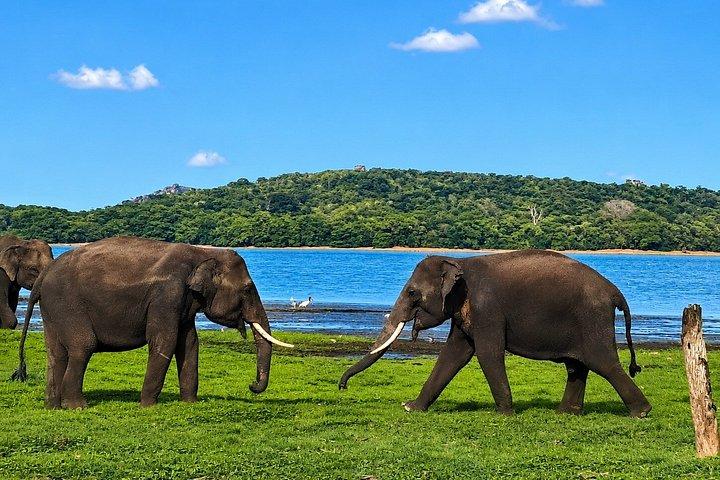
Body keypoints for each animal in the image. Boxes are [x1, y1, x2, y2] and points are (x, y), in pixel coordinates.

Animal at [12, 236, 293, 409]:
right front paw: (147, 405)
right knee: (83, 347)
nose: (252, 385)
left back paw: (53, 406)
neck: (202, 253)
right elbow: (164, 341)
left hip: (53, 310)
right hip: (68, 305)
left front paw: (189, 403)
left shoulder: (184, 303)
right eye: (247, 289)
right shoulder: (167, 296)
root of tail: (43, 276)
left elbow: (189, 344)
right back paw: (77, 407)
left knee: (56, 353)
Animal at [339, 250, 652, 418]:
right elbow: (453, 355)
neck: (460, 262)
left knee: (603, 363)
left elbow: (487, 353)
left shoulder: (486, 308)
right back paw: (565, 413)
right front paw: (411, 408)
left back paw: (642, 412)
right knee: (577, 366)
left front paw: (505, 414)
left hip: (592, 319)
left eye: (412, 293)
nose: (342, 387)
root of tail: (614, 291)